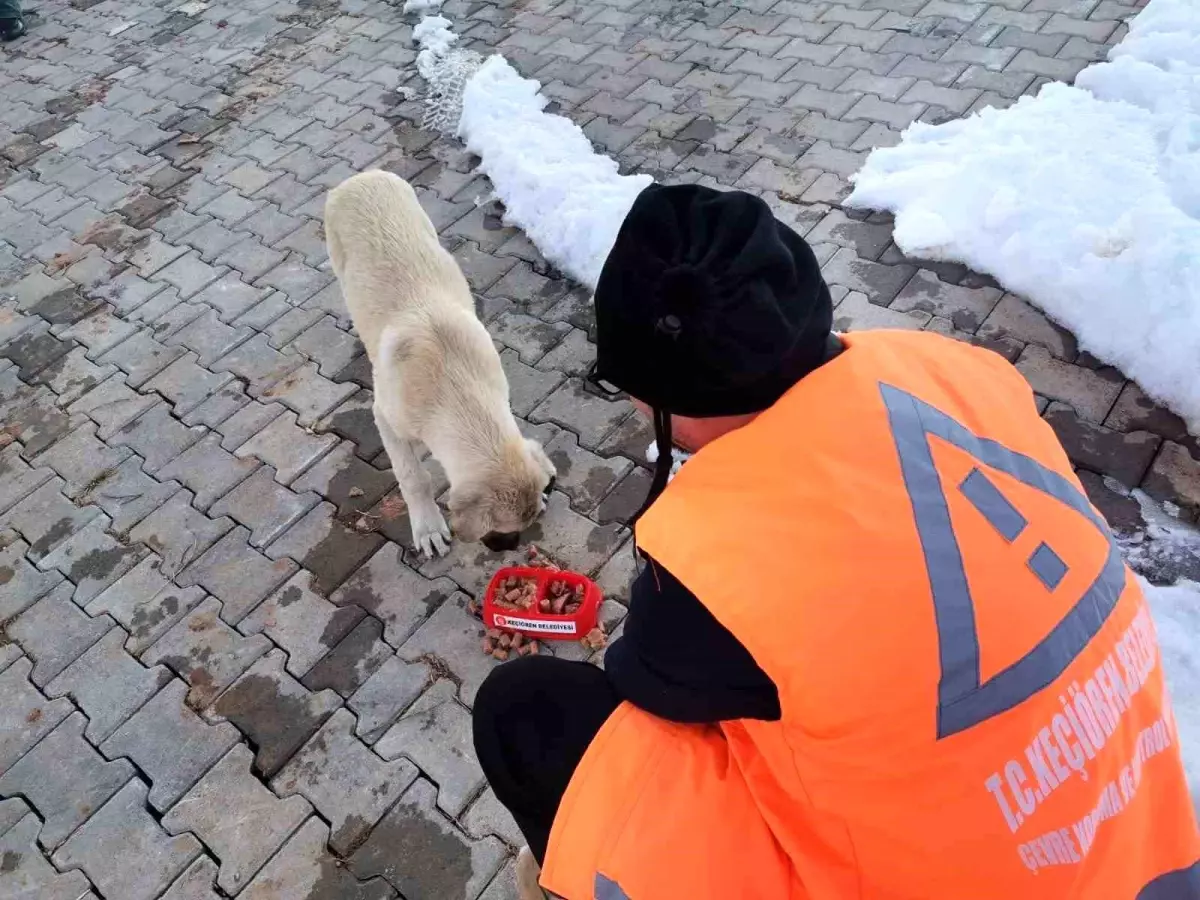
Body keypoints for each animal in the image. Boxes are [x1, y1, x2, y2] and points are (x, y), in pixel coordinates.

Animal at [326, 170, 554, 556]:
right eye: (499, 529)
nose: (508, 549)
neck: (454, 384)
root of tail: (362, 176)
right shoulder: (386, 419)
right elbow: (413, 476)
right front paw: (428, 526)